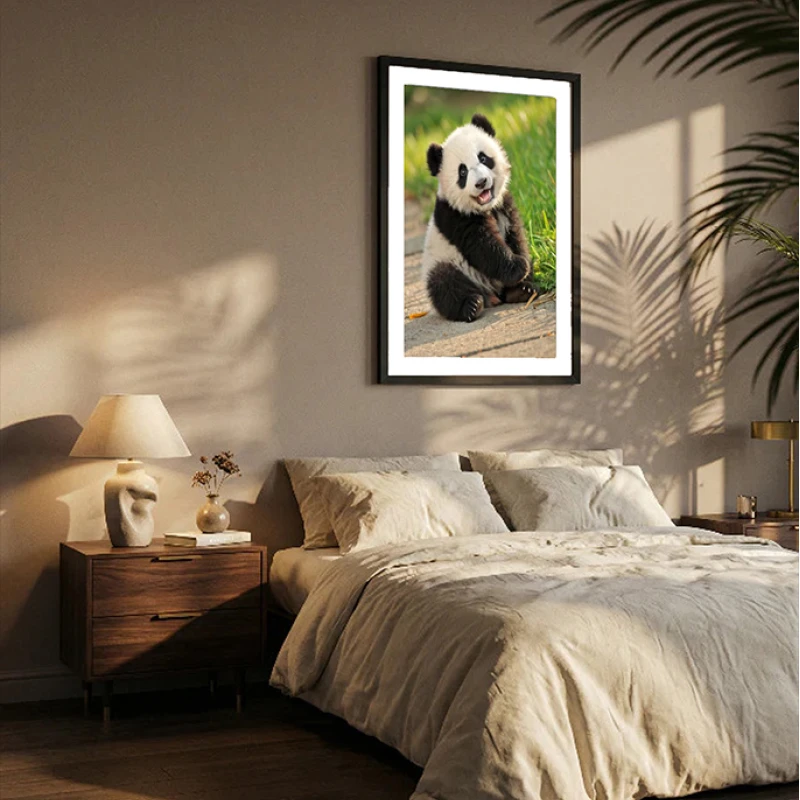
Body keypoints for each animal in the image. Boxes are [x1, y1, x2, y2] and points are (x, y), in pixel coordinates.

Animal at [421, 113, 539, 323]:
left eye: (483, 158)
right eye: (462, 172)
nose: (481, 182)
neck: (486, 208)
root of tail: (491, 293)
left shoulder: (504, 205)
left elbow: (516, 236)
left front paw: (525, 275)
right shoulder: (455, 216)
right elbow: (483, 246)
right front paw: (518, 267)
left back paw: (520, 292)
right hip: (445, 262)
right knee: (444, 283)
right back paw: (471, 305)